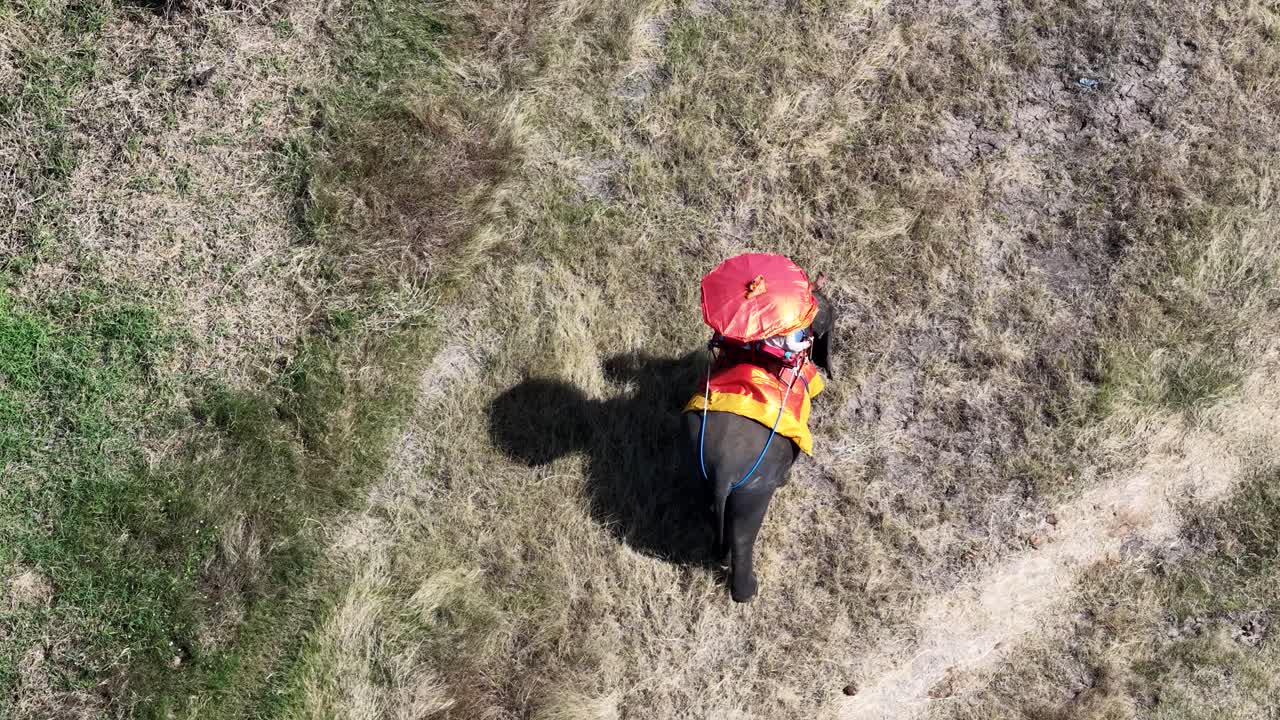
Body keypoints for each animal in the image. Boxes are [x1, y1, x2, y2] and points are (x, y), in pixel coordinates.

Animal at [682, 285, 835, 602]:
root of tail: (723, 472)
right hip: (752, 489)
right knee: (744, 533)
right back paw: (749, 593)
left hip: (696, 468)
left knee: (710, 514)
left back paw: (719, 557)